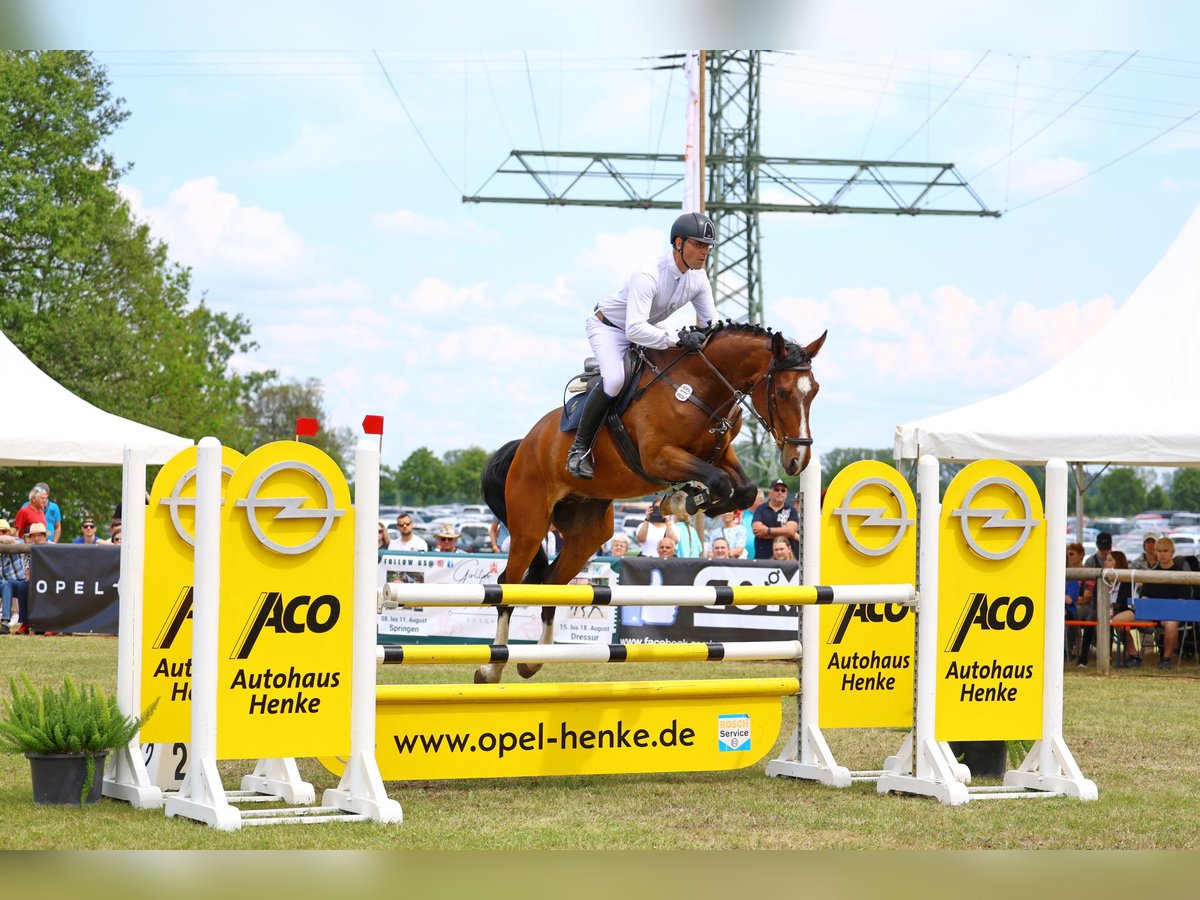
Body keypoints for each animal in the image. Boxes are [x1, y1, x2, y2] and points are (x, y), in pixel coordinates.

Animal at [477, 321, 825, 681]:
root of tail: (524, 445)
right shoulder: (659, 458)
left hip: (587, 533)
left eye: (813, 391)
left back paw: (532, 662)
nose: (797, 459)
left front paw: (693, 502)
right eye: (782, 393)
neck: (701, 386)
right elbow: (719, 481)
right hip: (530, 525)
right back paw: (491, 668)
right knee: (507, 584)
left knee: (551, 583)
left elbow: (743, 490)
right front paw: (684, 501)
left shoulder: (721, 452)